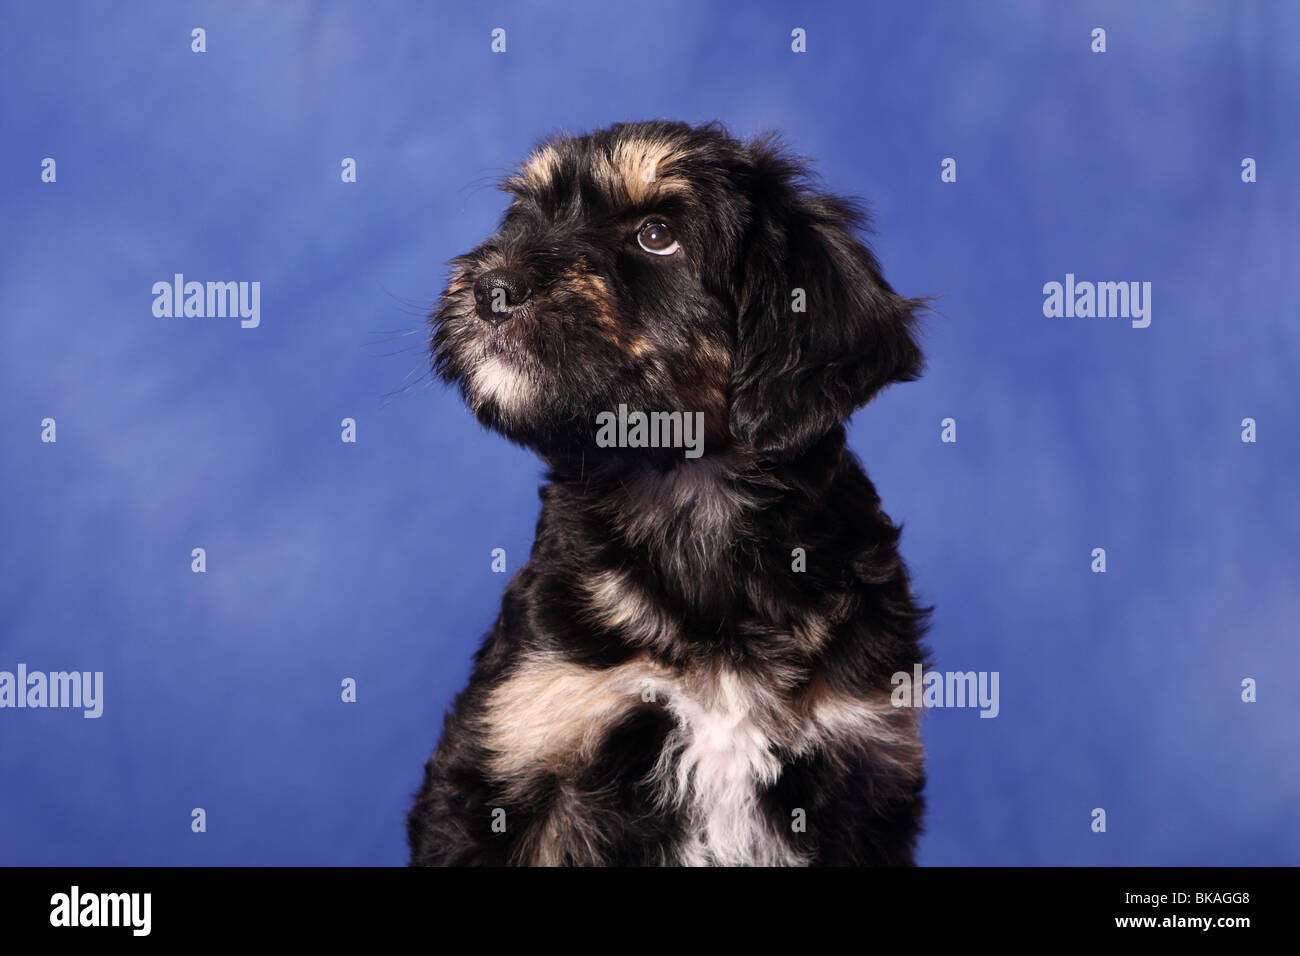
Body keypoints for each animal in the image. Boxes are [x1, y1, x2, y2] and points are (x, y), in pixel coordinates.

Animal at [410, 119, 930, 868]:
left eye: (657, 234)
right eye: (524, 217)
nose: (491, 287)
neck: (689, 498)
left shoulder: (859, 763)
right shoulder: (519, 742)